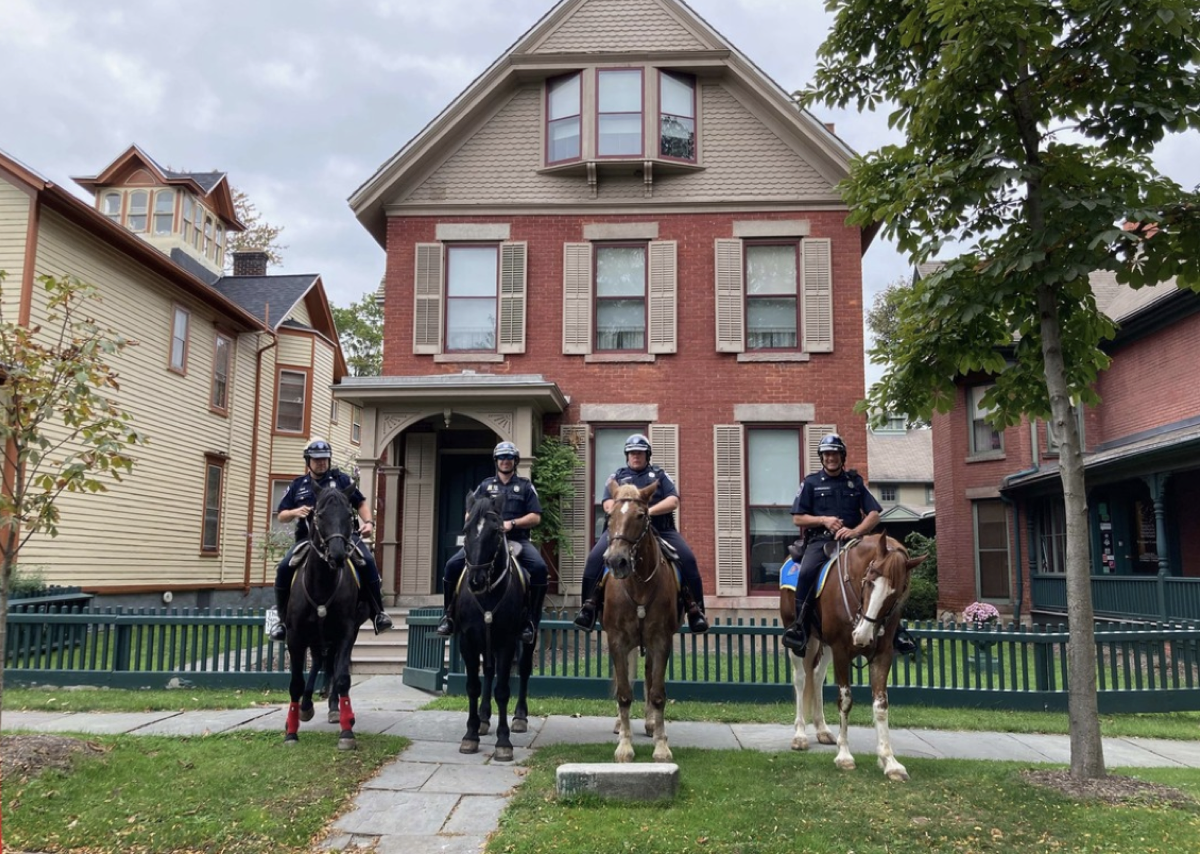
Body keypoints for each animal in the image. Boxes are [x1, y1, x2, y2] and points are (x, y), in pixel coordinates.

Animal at [282, 484, 364, 748]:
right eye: (318, 515)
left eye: (349, 515)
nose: (337, 555)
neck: (322, 584)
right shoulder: (295, 636)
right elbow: (295, 682)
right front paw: (291, 731)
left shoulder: (347, 631)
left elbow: (342, 677)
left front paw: (346, 731)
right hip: (315, 637)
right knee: (319, 662)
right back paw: (307, 706)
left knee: (331, 666)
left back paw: (335, 709)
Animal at [451, 489, 542, 762]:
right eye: (466, 529)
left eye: (495, 531)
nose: (476, 580)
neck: (488, 594)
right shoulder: (468, 641)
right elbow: (473, 686)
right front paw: (470, 735)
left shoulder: (506, 642)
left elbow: (502, 690)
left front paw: (504, 742)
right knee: (489, 672)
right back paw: (482, 718)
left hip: (528, 635)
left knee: (523, 670)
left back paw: (520, 716)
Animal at [604, 477, 681, 762]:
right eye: (609, 516)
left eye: (640, 515)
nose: (617, 561)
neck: (638, 585)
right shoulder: (617, 640)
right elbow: (624, 693)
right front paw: (625, 747)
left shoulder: (661, 640)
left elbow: (657, 693)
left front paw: (661, 746)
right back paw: (619, 723)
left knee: (648, 677)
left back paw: (649, 723)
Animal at [777, 532, 926, 782]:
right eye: (869, 581)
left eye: (896, 593)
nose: (862, 635)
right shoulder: (841, 650)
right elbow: (845, 701)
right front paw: (844, 756)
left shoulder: (882, 655)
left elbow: (881, 705)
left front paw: (889, 761)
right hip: (799, 638)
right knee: (801, 679)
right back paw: (800, 735)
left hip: (824, 643)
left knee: (816, 676)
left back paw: (822, 730)